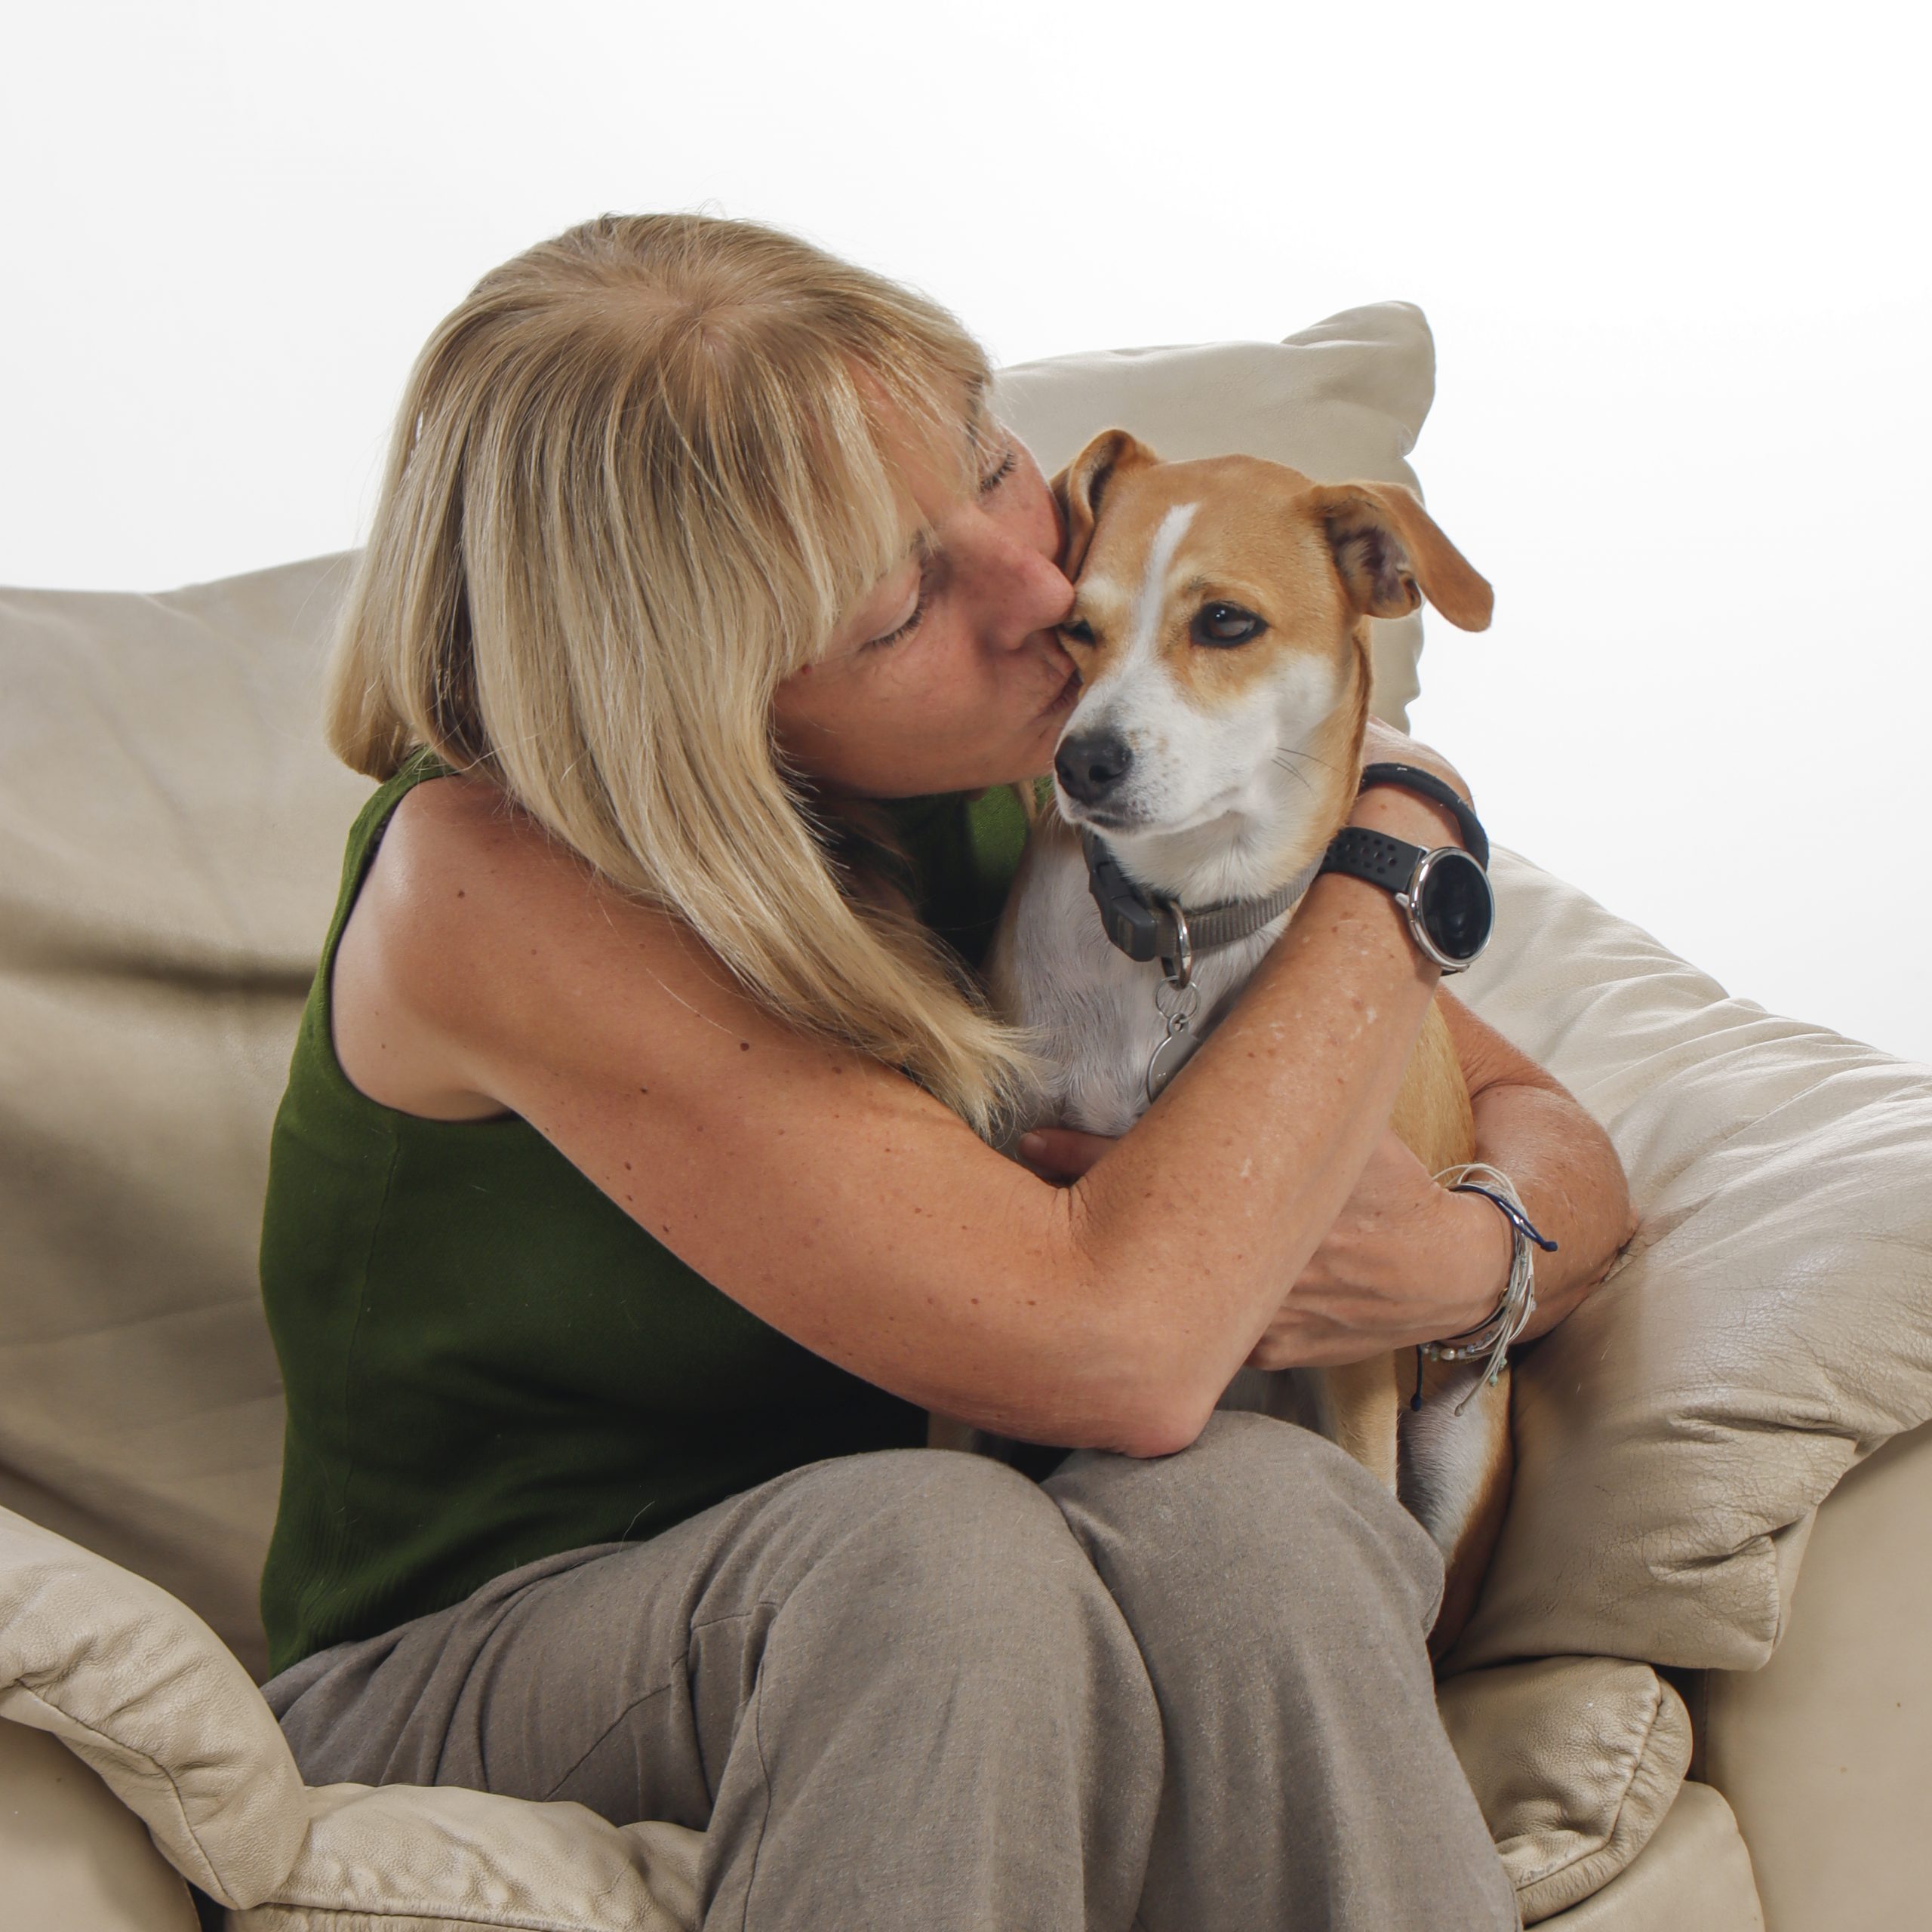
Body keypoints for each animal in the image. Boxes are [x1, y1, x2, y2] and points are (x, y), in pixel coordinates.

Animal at [982, 429, 1507, 1656]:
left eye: (1225, 623)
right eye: (1077, 627)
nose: (1082, 761)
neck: (1178, 928)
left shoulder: (1353, 1343)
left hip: (1459, 1430)